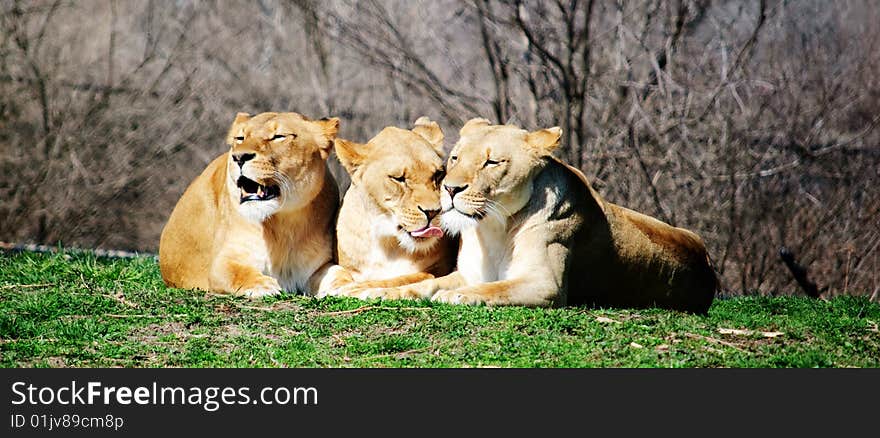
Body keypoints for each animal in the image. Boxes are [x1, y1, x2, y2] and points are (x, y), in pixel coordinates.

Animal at [158, 111, 350, 300]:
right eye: (240, 138)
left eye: (278, 136)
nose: (239, 157)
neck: (282, 224)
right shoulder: (222, 262)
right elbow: (236, 273)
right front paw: (264, 285)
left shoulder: (317, 267)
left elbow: (338, 274)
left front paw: (353, 285)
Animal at [316, 118, 458, 300]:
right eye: (399, 179)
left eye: (438, 175)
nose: (434, 212)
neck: (388, 244)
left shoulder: (439, 268)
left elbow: (401, 278)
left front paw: (354, 289)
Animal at [360, 118, 720, 314]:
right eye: (455, 158)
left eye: (492, 162)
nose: (450, 189)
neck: (494, 228)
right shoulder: (470, 272)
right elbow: (422, 285)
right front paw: (376, 292)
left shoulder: (546, 284)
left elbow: (494, 290)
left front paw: (455, 296)